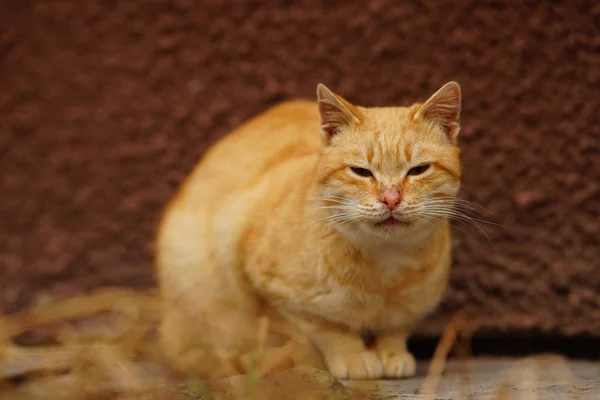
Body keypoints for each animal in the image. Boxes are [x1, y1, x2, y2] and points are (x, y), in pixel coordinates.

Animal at [156, 82, 464, 382]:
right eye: (361, 172)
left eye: (419, 170)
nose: (390, 199)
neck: (385, 268)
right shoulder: (271, 291)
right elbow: (328, 329)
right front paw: (353, 357)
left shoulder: (411, 308)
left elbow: (394, 330)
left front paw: (392, 354)